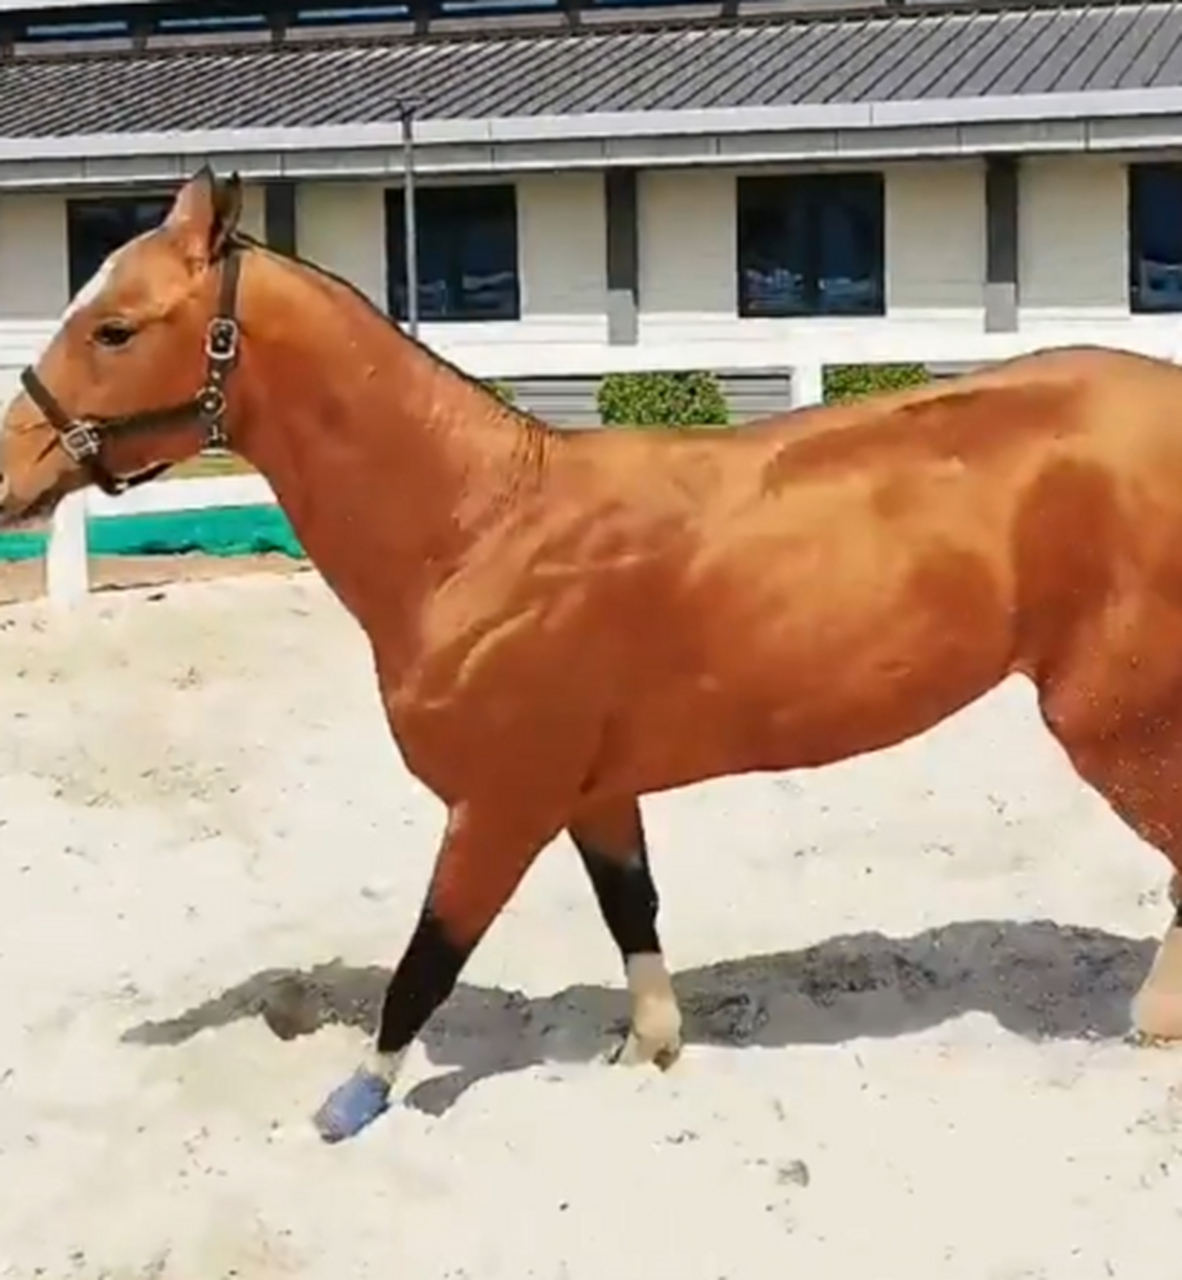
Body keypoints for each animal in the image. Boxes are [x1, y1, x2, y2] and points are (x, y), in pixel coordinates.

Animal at [3, 166, 1182, 1144]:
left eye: (114, 328)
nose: (10, 474)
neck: (477, 528)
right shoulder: (594, 790)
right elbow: (633, 909)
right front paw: (647, 1046)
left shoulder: (500, 802)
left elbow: (427, 958)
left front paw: (352, 1101)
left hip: (1111, 719)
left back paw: (1154, 1015)